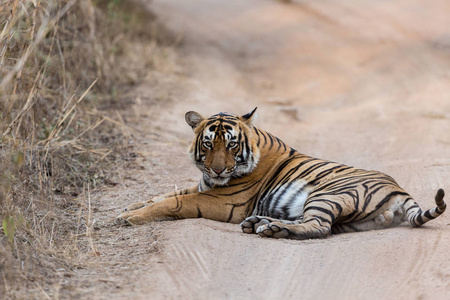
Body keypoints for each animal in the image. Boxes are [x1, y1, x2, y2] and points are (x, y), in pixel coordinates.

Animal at [116, 108, 446, 239]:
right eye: (208, 144)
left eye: (232, 144)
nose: (218, 168)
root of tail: (401, 191)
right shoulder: (205, 186)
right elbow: (167, 192)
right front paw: (128, 207)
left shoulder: (223, 201)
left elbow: (174, 202)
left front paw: (129, 218)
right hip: (352, 218)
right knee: (321, 224)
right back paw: (261, 223)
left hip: (329, 194)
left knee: (319, 227)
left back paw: (273, 229)